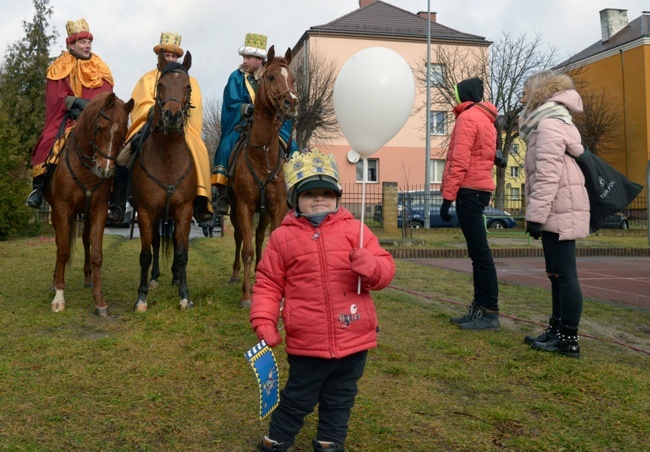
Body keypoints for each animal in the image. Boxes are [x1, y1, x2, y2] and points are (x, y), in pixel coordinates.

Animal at [42, 92, 134, 314]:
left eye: (123, 132)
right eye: (100, 128)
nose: (105, 170)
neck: (84, 167)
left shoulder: (98, 210)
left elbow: (96, 253)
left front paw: (99, 301)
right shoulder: (62, 209)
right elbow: (63, 250)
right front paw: (59, 296)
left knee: (85, 240)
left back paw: (87, 277)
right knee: (59, 243)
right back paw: (54, 282)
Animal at [128, 49, 195, 310]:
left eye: (187, 86)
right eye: (161, 85)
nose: (173, 116)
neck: (168, 160)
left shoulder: (184, 211)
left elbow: (182, 252)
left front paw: (184, 294)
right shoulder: (146, 212)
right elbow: (146, 254)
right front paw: (141, 296)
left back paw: (176, 278)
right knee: (156, 244)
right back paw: (155, 278)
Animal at [229, 46, 298, 308]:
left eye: (294, 79)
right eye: (271, 77)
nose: (292, 103)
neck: (263, 155)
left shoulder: (277, 207)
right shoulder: (244, 207)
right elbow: (247, 249)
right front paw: (246, 296)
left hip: (265, 212)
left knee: (259, 238)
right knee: (241, 237)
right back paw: (236, 274)